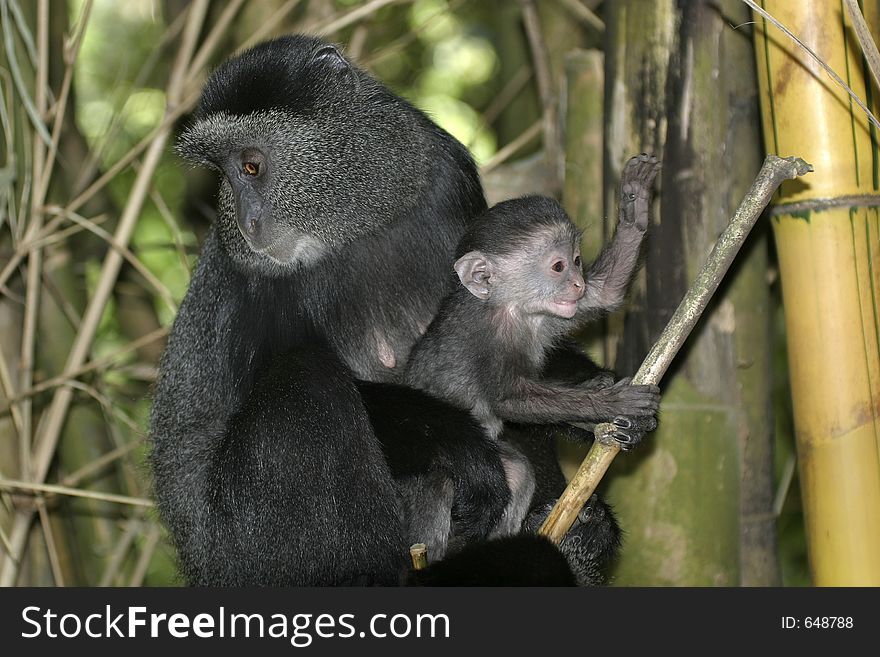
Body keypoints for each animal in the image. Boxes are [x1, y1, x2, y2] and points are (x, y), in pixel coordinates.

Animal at [148, 34, 624, 584]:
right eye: (223, 175)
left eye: (250, 166)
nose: (247, 219)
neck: (353, 230)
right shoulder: (253, 284)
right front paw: (464, 445)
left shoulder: (447, 173)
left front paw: (595, 396)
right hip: (247, 554)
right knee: (304, 376)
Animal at [406, 152, 660, 552]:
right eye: (558, 266)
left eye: (576, 261)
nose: (577, 284)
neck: (517, 310)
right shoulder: (493, 334)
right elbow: (509, 401)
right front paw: (611, 401)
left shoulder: (550, 315)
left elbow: (605, 293)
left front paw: (635, 205)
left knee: (518, 471)